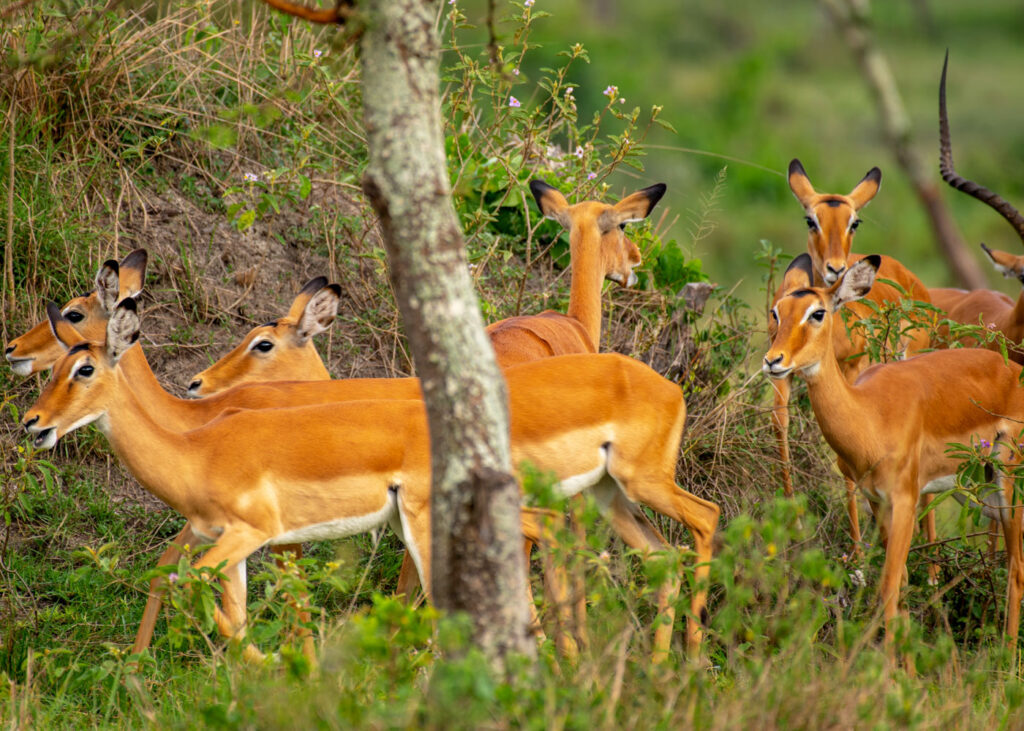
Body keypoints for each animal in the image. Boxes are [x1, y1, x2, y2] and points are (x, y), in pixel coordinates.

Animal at [29, 301, 720, 659]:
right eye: (61, 364)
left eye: (84, 365)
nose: (33, 422)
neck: (198, 442)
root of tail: (666, 385)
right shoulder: (231, 539)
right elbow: (228, 605)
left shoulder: (253, 533)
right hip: (606, 497)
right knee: (646, 554)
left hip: (619, 488)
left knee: (705, 518)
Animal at [765, 253, 1024, 659]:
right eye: (777, 311)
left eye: (817, 313)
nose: (773, 360)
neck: (870, 414)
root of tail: (1013, 371)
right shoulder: (877, 501)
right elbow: (899, 583)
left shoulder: (905, 500)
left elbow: (888, 586)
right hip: (983, 493)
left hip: (1010, 483)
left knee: (1015, 569)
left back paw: (1007, 662)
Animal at [774, 157, 937, 552]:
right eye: (811, 220)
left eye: (854, 222)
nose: (835, 267)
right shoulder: (783, 376)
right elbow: (781, 429)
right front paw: (794, 526)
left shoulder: (849, 375)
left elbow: (843, 458)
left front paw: (858, 545)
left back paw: (929, 554)